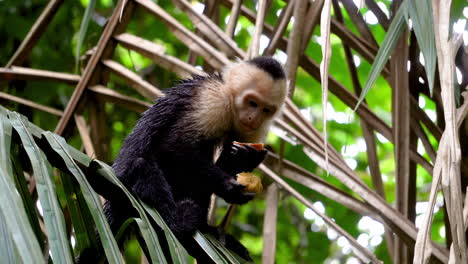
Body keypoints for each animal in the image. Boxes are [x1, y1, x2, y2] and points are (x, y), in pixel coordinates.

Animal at [77, 55, 288, 262]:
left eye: (266, 110)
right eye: (252, 103)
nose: (253, 118)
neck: (231, 102)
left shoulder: (254, 131)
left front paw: (244, 157)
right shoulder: (213, 100)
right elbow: (174, 147)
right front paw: (229, 187)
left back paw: (208, 229)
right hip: (123, 185)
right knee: (143, 165)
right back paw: (178, 223)